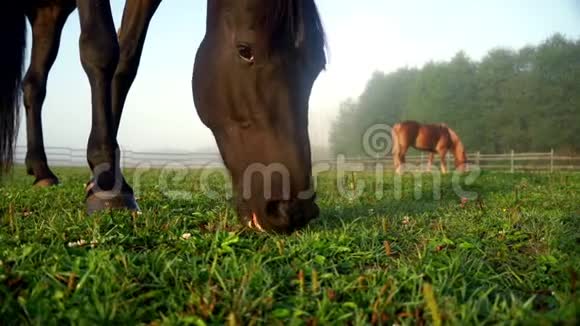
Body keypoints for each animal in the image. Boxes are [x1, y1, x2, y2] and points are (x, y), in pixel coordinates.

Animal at [0, 0, 326, 234]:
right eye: (245, 50)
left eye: (318, 66)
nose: (293, 210)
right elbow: (100, 48)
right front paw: (106, 182)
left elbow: (126, 57)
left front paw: (105, 175)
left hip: (50, 12)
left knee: (34, 84)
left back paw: (41, 170)